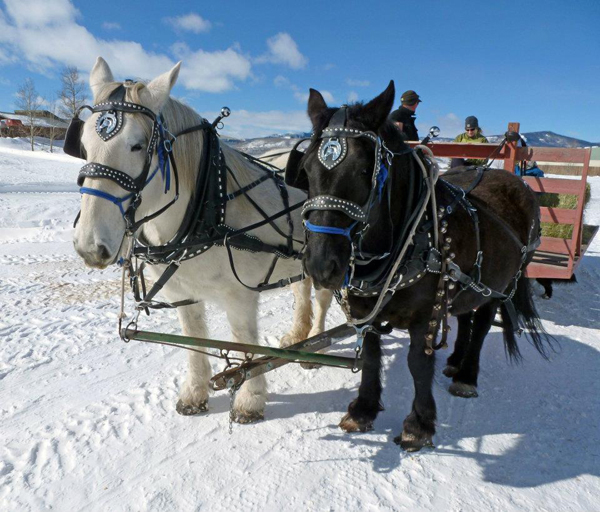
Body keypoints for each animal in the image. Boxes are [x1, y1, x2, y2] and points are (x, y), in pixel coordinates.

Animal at [73, 58, 332, 422]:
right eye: (83, 144)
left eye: (137, 145)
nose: (89, 246)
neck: (208, 211)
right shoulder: (182, 293)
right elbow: (194, 340)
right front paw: (194, 394)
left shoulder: (240, 297)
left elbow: (245, 342)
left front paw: (250, 400)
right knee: (301, 291)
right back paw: (298, 335)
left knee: (321, 299)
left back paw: (316, 341)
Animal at [288, 83, 552, 452]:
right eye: (307, 171)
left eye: (363, 171)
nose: (321, 265)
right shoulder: (366, 308)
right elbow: (371, 355)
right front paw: (363, 409)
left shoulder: (426, 314)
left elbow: (418, 362)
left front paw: (419, 424)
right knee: (465, 316)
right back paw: (455, 361)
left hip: (501, 284)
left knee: (483, 322)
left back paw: (467, 375)